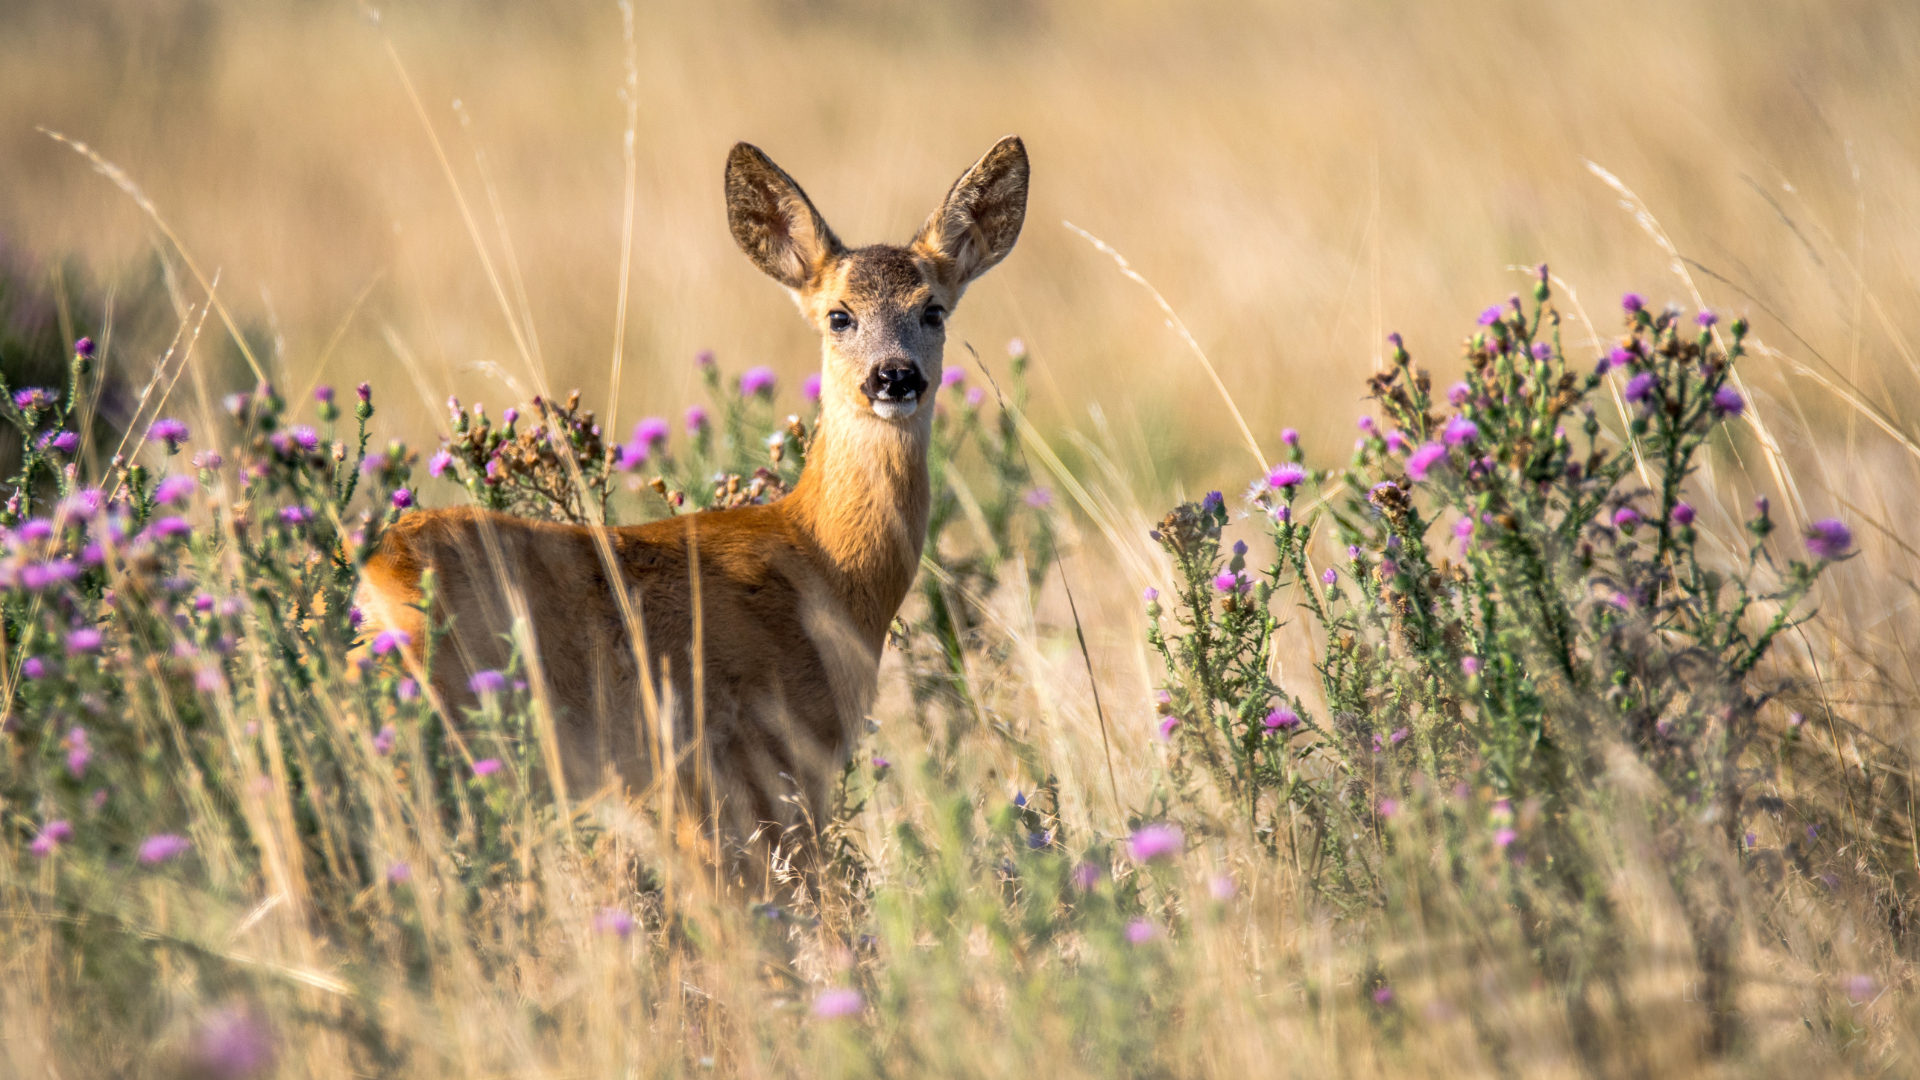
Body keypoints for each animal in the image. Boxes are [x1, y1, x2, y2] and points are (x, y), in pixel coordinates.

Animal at [353, 134, 1029, 876]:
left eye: (933, 309)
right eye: (839, 315)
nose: (895, 377)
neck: (823, 565)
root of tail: (377, 569)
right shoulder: (760, 760)